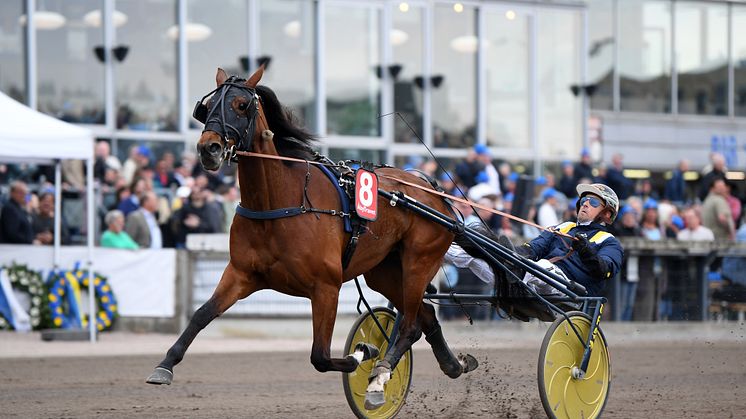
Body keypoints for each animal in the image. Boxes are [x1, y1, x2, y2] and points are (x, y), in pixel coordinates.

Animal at [145, 66, 476, 410]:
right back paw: (452, 365)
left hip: (418, 262)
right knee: (426, 317)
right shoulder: (241, 274)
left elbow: (320, 356)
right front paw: (165, 365)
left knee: (410, 325)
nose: (208, 148)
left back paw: (380, 375)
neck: (279, 203)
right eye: (207, 108)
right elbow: (201, 314)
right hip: (384, 271)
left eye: (241, 105)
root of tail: (434, 191)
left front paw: (364, 352)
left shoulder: (326, 286)